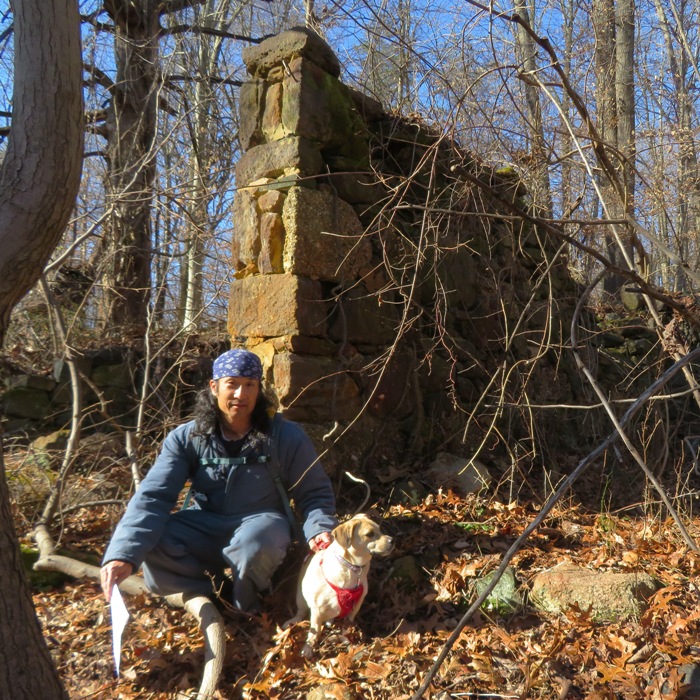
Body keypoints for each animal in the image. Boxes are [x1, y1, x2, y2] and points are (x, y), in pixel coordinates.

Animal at [284, 516, 394, 656]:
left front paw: (346, 638)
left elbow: (346, 626)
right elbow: (314, 632)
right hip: (301, 598)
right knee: (301, 612)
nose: (392, 540)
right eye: (369, 534)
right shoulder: (316, 611)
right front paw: (308, 647)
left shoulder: (355, 607)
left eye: (380, 529)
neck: (352, 567)